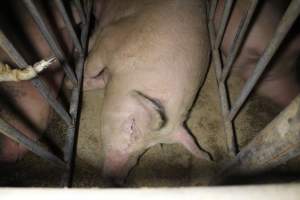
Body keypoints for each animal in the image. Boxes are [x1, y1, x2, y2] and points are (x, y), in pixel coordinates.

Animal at [83, 0, 212, 184]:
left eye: (148, 147)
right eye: (131, 128)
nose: (115, 179)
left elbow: (98, 79)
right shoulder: (110, 37)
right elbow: (91, 66)